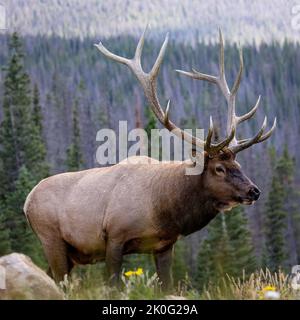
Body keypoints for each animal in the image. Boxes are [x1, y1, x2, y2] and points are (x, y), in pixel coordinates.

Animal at [24, 28, 276, 290]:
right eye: (219, 168)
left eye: (238, 164)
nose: (254, 191)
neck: (163, 209)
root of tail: (26, 201)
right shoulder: (114, 236)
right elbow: (113, 286)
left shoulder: (164, 245)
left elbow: (167, 286)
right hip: (51, 239)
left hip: (69, 253)